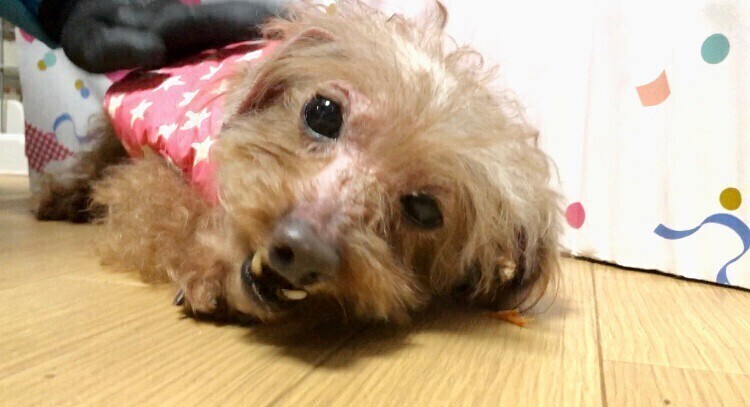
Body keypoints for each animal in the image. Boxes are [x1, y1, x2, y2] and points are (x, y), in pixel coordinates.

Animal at [35, 0, 561, 324]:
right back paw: (59, 198)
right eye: (322, 112)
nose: (302, 250)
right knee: (95, 159)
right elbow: (168, 205)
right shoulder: (154, 162)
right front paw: (208, 266)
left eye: (425, 210)